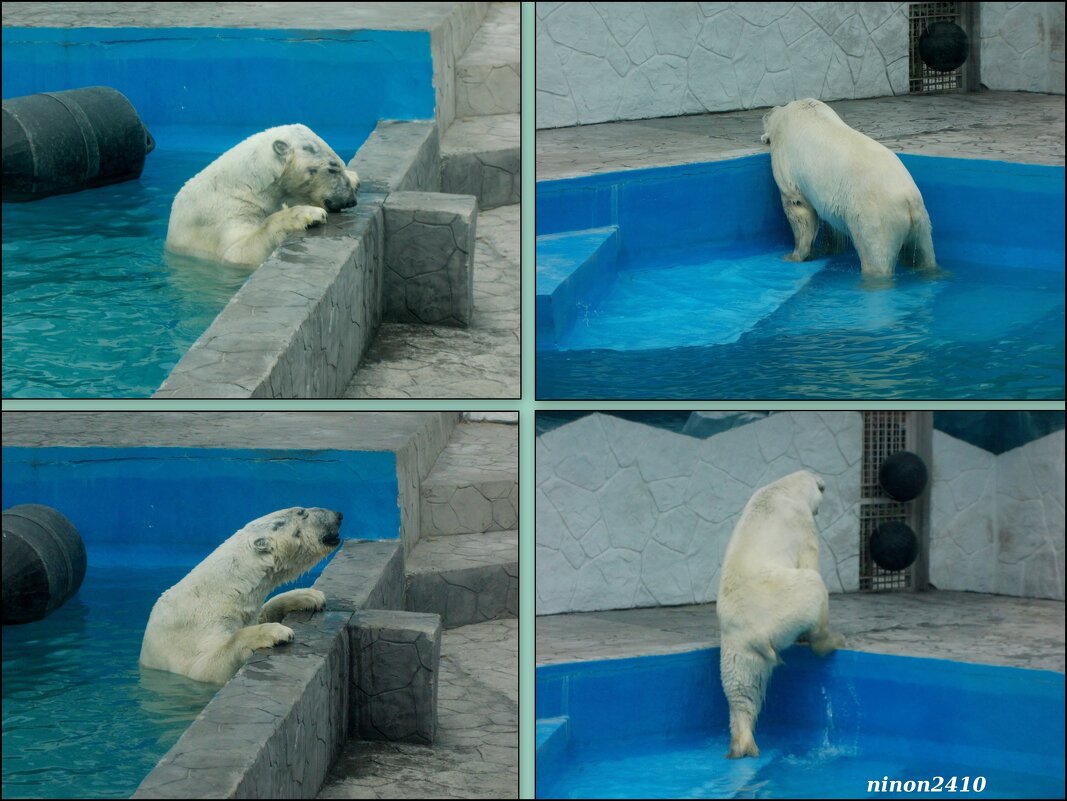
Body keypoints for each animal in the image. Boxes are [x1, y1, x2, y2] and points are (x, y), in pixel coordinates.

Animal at [139, 509, 341, 686]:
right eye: (302, 512)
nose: (339, 515)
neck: (221, 592)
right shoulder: (190, 631)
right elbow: (206, 667)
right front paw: (277, 632)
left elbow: (263, 613)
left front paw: (310, 596)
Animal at [164, 122, 360, 266]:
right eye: (332, 168)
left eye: (341, 164)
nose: (351, 200)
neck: (247, 184)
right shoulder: (221, 214)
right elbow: (237, 252)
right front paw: (308, 214)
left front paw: (354, 177)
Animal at [712, 473, 845, 759]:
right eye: (821, 492)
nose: (820, 506)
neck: (783, 488)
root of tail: (758, 635)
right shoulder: (801, 522)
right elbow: (810, 558)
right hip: (785, 598)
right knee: (813, 585)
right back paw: (831, 640)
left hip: (738, 646)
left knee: (741, 684)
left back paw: (741, 743)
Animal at [759, 98, 934, 279]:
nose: (764, 114)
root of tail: (909, 200)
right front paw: (830, 248)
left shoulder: (786, 166)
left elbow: (798, 209)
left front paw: (794, 256)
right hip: (921, 223)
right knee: (922, 254)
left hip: (877, 220)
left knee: (876, 258)